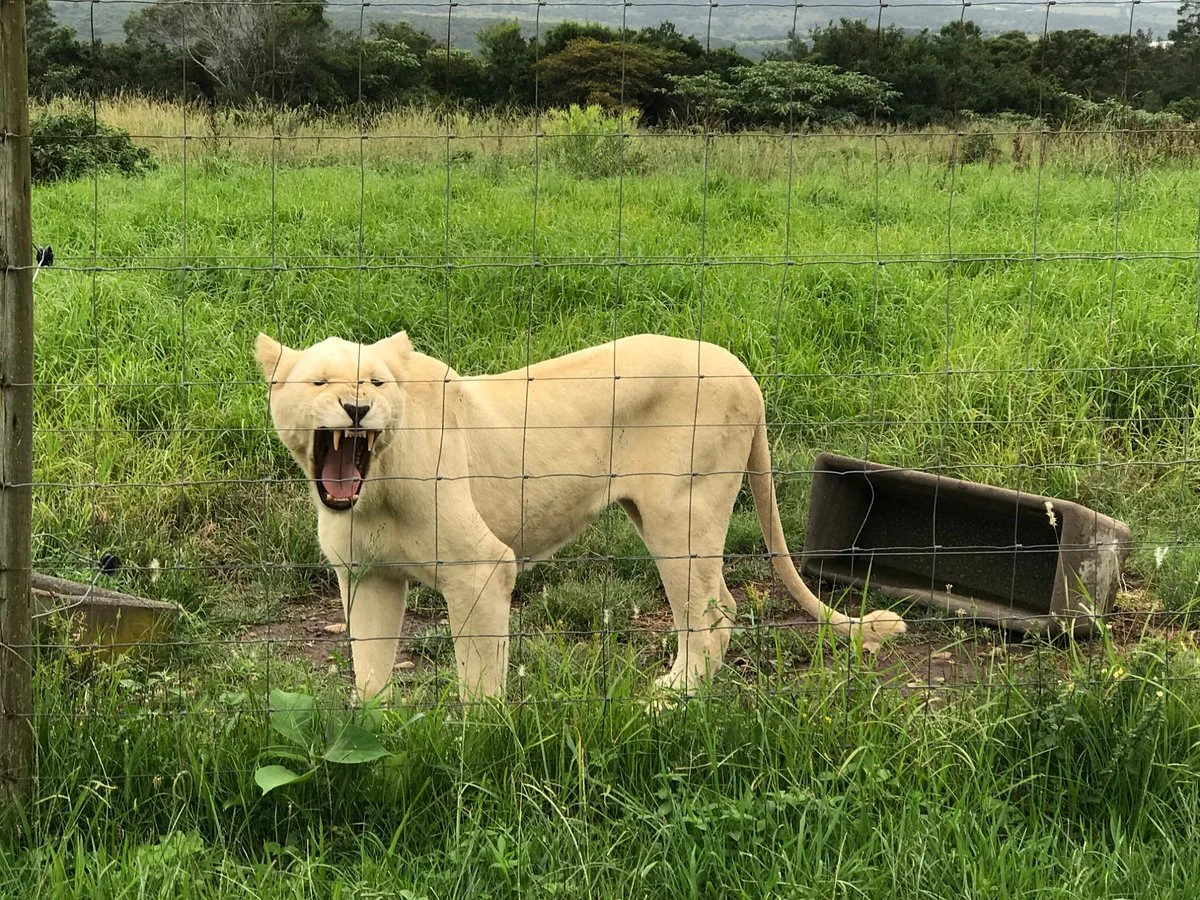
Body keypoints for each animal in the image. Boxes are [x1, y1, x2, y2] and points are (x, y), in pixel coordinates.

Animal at [255, 331, 906, 702]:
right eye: (320, 381)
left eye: (377, 382)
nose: (357, 409)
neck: (373, 489)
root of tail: (742, 370)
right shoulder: (367, 577)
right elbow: (369, 674)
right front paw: (374, 740)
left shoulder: (481, 569)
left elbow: (479, 684)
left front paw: (474, 758)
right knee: (714, 605)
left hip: (680, 511)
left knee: (713, 611)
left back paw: (673, 700)